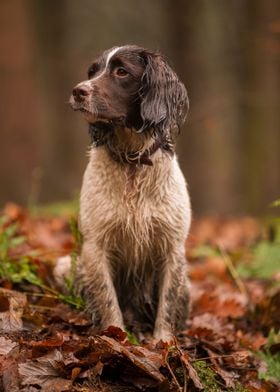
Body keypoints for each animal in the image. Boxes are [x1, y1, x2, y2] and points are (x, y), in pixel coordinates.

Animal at [63, 45, 190, 340]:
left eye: (122, 71)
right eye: (92, 71)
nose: (78, 91)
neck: (132, 162)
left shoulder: (172, 246)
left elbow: (167, 303)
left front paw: (163, 342)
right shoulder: (96, 246)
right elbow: (107, 298)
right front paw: (115, 336)